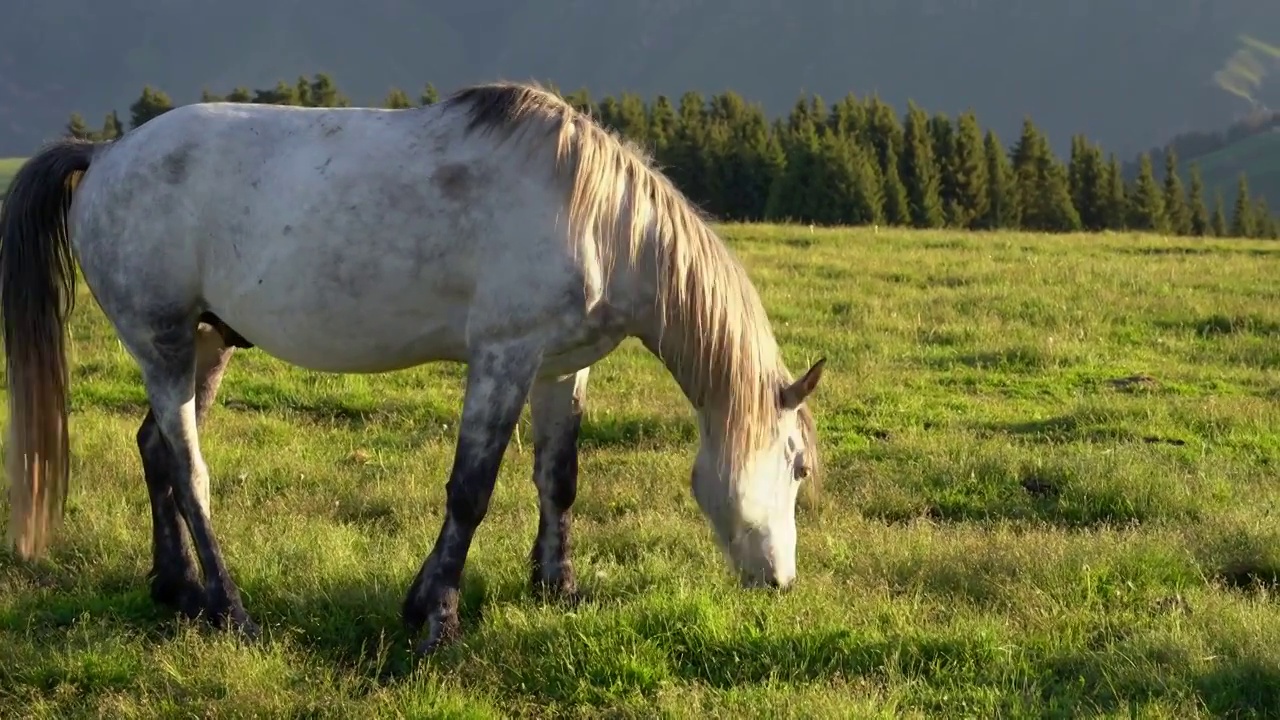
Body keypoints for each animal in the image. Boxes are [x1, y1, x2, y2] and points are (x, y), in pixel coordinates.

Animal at [2, 78, 829, 650]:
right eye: (797, 466)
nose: (782, 581)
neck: (595, 218)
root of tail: (104, 155)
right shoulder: (502, 358)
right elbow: (471, 490)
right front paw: (437, 617)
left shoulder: (561, 368)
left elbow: (558, 479)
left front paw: (554, 587)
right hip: (163, 343)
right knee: (189, 468)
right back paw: (231, 609)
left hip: (206, 343)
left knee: (154, 450)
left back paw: (178, 590)